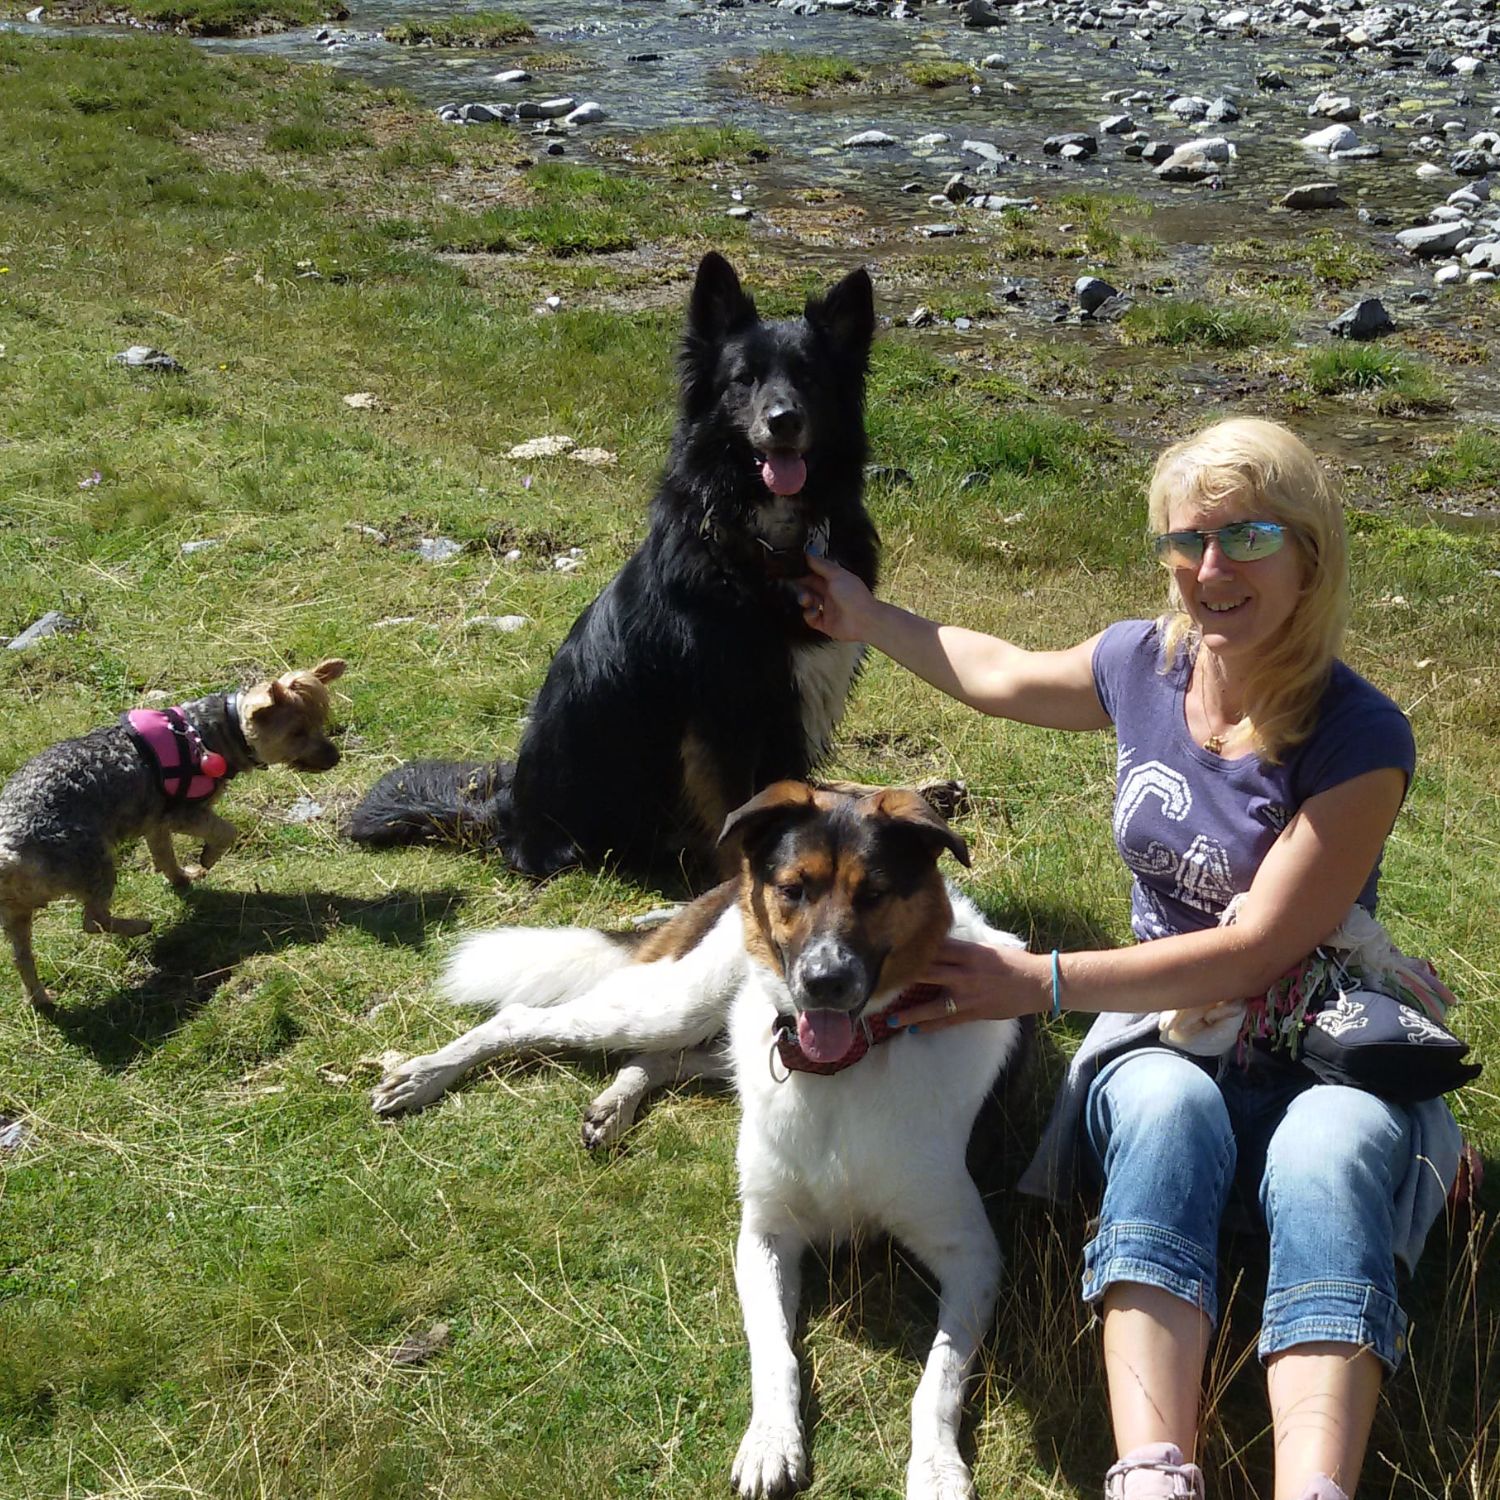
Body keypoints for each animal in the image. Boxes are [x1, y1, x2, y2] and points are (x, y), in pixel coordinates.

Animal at [1, 660, 345, 1002]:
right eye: (297, 732)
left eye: (320, 721)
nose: (336, 757)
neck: (214, 731)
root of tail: (8, 851)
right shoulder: (185, 813)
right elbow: (226, 831)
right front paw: (205, 859)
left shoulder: (157, 821)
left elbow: (164, 856)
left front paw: (182, 879)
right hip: (94, 863)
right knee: (92, 920)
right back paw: (138, 926)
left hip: (17, 914)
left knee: (24, 957)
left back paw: (41, 1000)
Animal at [352, 247, 882, 876]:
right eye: (743, 380)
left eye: (809, 378)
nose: (783, 420)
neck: (768, 543)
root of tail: (507, 815)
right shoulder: (724, 718)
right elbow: (736, 816)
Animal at [381, 786, 1026, 1500]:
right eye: (793, 889)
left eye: (875, 893)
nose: (823, 983)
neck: (844, 1070)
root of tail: (723, 886)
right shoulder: (765, 1235)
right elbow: (774, 1353)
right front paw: (771, 1441)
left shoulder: (972, 1255)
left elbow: (936, 1380)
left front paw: (936, 1468)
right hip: (676, 1003)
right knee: (529, 1019)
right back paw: (423, 1074)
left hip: (717, 1030)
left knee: (663, 1057)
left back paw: (613, 1103)